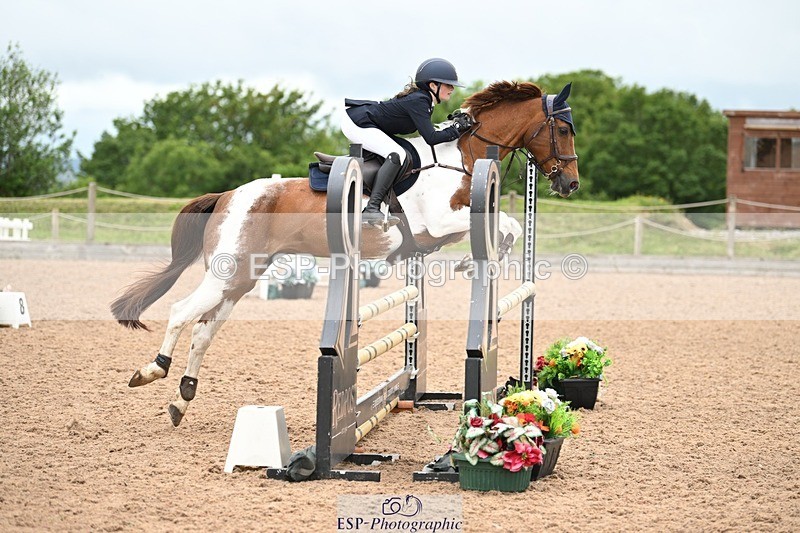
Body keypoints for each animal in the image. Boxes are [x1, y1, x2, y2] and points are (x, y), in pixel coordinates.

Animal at [111, 80, 580, 426]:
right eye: (563, 130)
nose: (570, 184)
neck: (461, 160)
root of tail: (227, 195)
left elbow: (509, 228)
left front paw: (476, 260)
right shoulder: (437, 225)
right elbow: (505, 227)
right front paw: (473, 261)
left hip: (240, 278)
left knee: (203, 331)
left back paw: (181, 399)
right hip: (227, 275)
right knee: (180, 312)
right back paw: (152, 370)